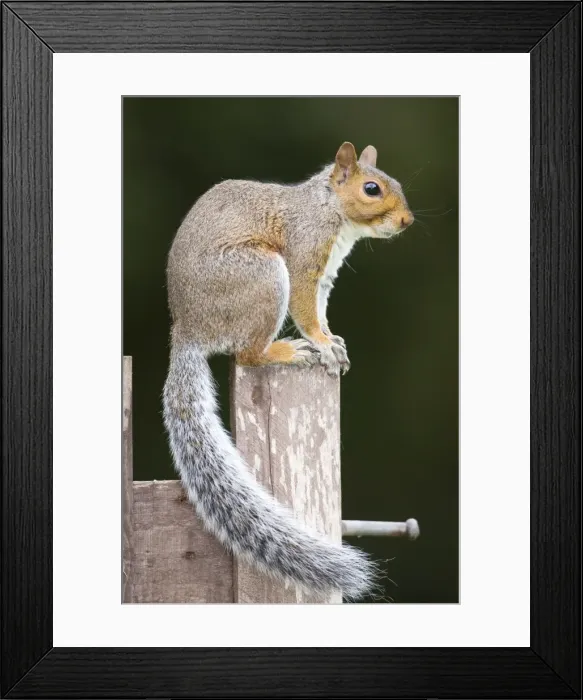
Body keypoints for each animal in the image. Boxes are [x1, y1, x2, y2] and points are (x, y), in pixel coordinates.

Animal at [163, 142, 414, 600]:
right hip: (262, 277)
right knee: (247, 356)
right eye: (371, 188)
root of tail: (188, 332)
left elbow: (322, 313)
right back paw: (287, 351)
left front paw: (334, 341)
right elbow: (306, 310)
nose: (406, 220)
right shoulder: (303, 257)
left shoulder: (327, 276)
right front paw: (321, 344)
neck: (329, 210)